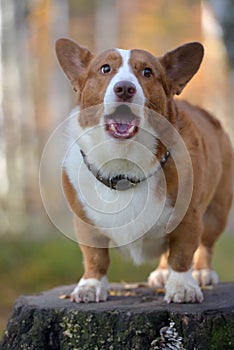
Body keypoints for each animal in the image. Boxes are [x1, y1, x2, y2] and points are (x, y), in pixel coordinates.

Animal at [55, 37, 234, 302]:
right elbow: (95, 257)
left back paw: (202, 272)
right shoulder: (85, 223)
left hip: (216, 212)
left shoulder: (188, 218)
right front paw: (90, 286)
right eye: (105, 69)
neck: (125, 167)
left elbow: (182, 254)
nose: (124, 89)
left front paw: (182, 287)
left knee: (205, 243)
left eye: (147, 72)